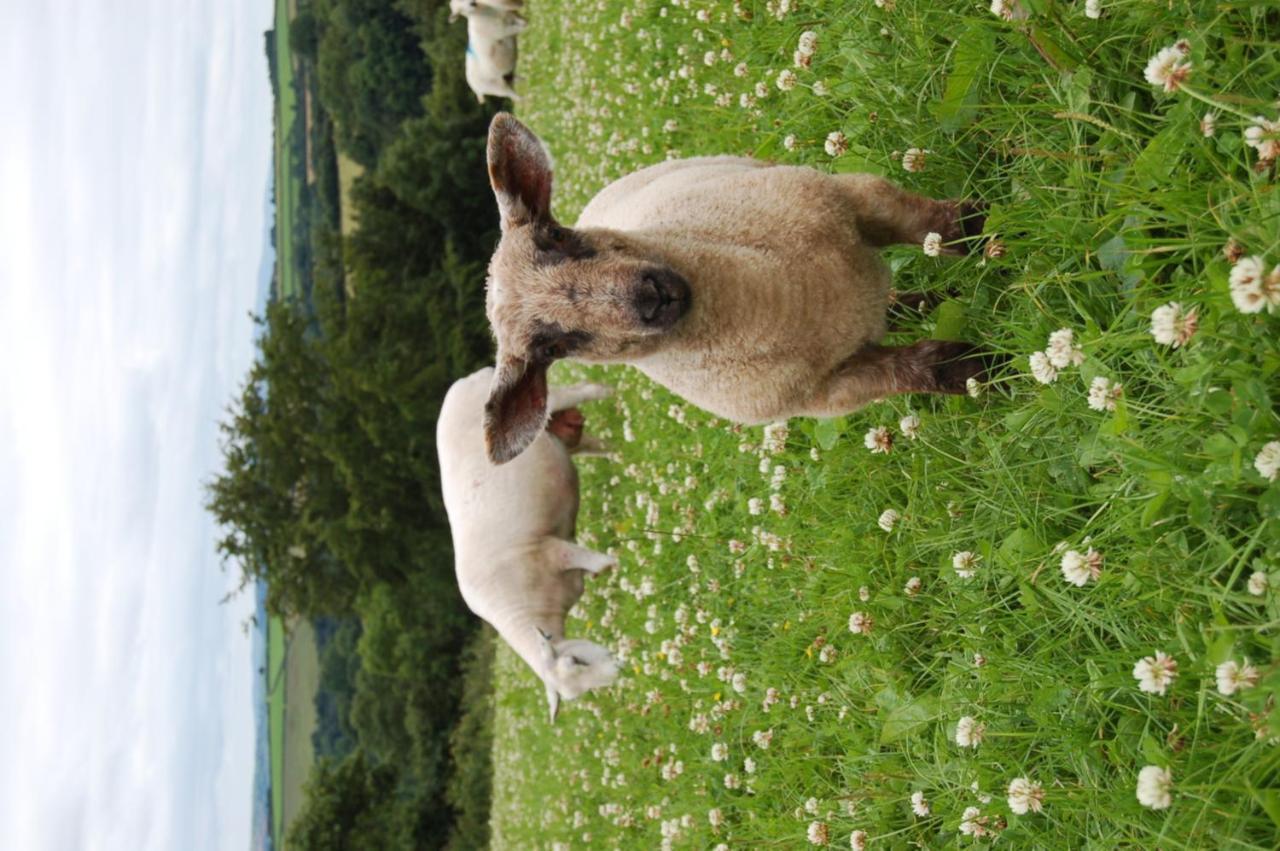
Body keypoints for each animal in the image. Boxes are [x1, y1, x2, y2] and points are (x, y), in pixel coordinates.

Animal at [437, 360, 616, 721]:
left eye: (575, 660)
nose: (618, 671)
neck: (528, 609)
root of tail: (460, 384)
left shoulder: (551, 548)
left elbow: (603, 564)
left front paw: (613, 563)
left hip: (547, 401)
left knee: (584, 390)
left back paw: (610, 392)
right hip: (551, 434)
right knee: (588, 440)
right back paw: (616, 452)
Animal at [481, 111, 988, 465]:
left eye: (556, 235)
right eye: (553, 349)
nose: (649, 298)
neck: (782, 299)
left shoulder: (853, 197)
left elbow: (933, 225)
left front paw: (986, 228)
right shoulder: (831, 390)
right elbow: (920, 368)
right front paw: (980, 371)